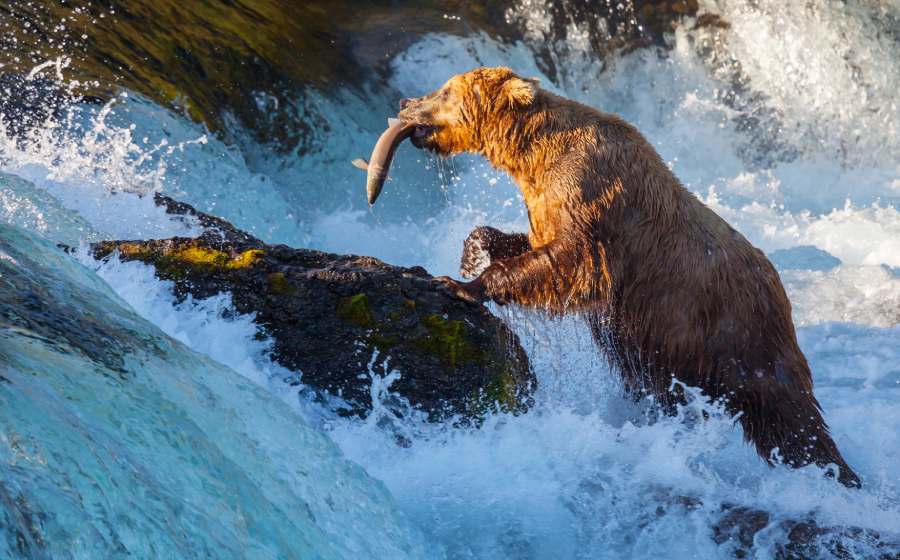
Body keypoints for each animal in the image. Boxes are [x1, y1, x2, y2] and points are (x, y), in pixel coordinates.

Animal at [397, 66, 860, 488]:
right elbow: (531, 245)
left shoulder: (592, 198)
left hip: (735, 332)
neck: (534, 156)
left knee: (787, 413)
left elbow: (571, 264)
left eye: (445, 90)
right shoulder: (546, 204)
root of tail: (780, 288)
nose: (405, 103)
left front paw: (461, 284)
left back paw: (837, 474)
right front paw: (473, 252)